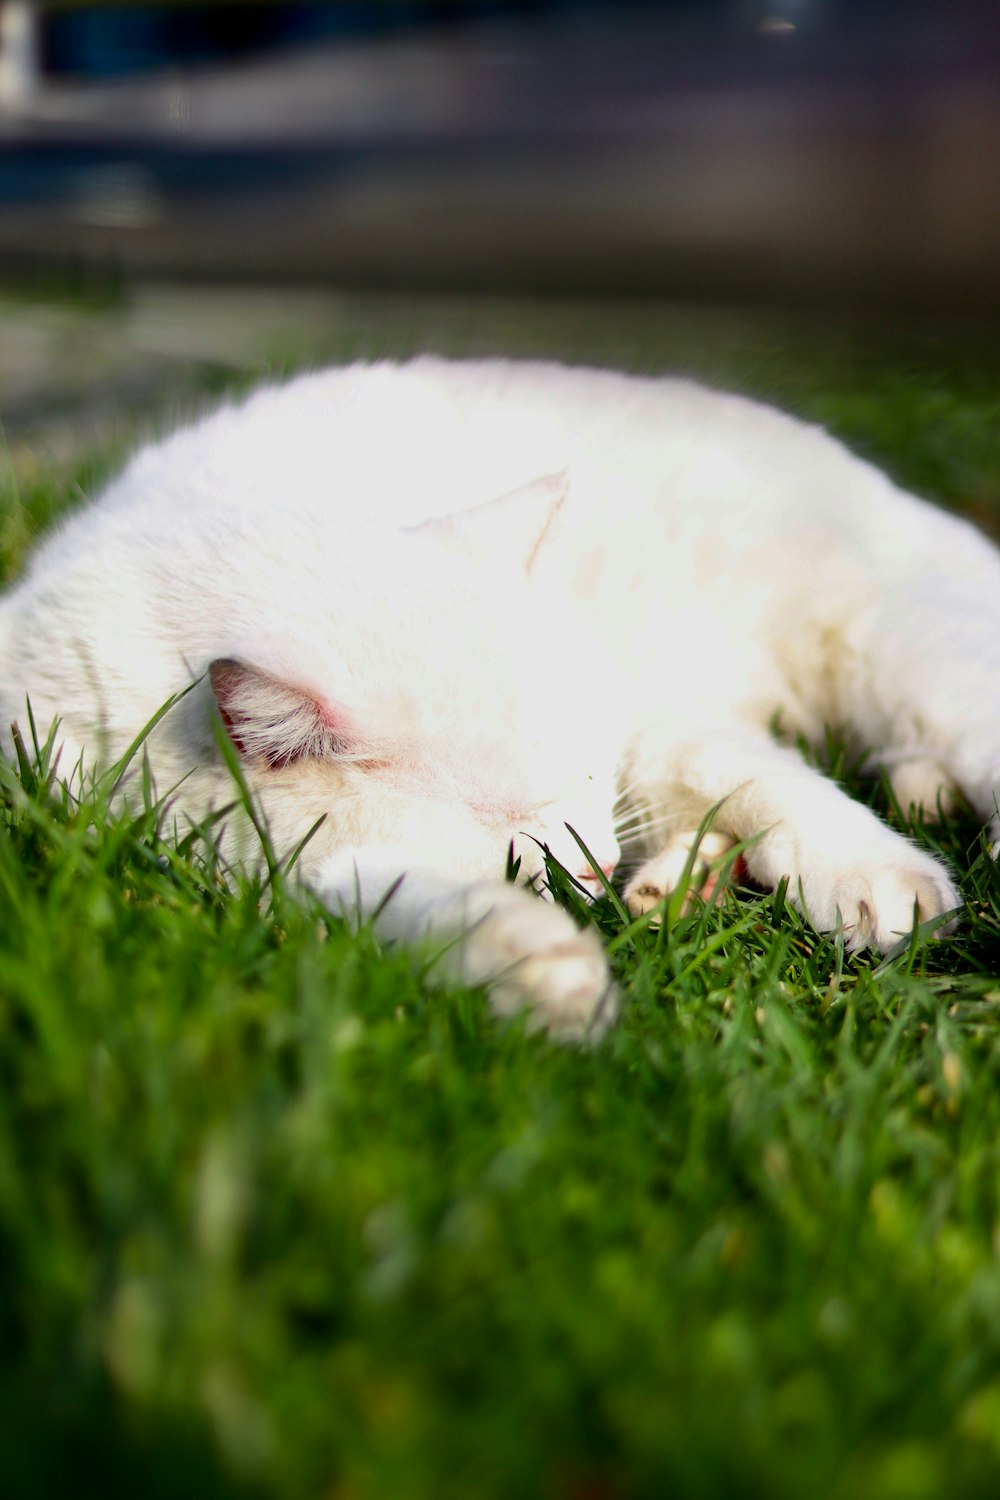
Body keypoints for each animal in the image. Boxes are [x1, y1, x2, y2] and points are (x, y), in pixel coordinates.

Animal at [0, 360, 995, 1044]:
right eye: (502, 818)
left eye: (584, 772)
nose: (594, 868)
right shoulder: (245, 863)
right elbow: (384, 891)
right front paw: (538, 967)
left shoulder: (653, 719)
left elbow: (754, 774)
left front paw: (878, 880)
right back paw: (683, 881)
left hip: (899, 648)